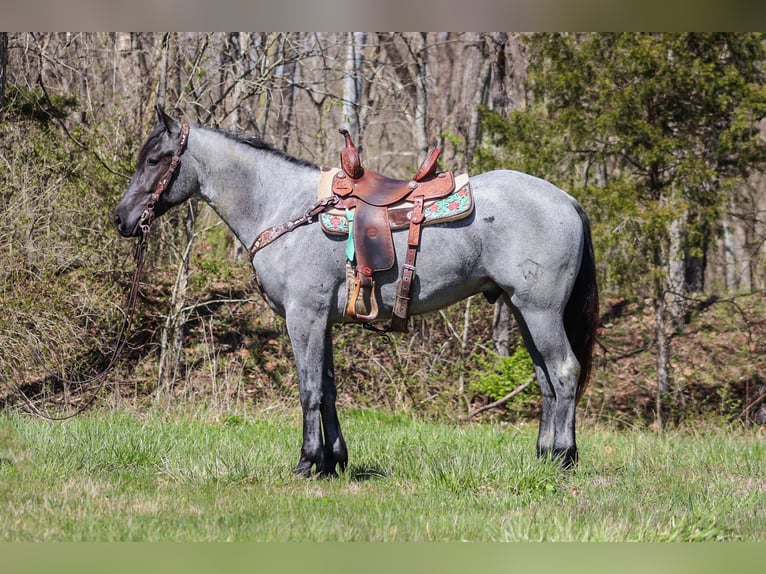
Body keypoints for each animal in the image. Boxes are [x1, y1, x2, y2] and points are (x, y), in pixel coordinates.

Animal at [117, 106, 604, 480]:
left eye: (156, 159)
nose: (122, 219)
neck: (282, 207)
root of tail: (566, 200)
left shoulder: (304, 316)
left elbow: (309, 389)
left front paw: (306, 463)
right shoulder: (323, 320)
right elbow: (329, 389)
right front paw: (333, 462)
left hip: (540, 311)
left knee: (564, 372)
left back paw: (564, 459)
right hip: (523, 311)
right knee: (545, 380)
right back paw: (543, 457)